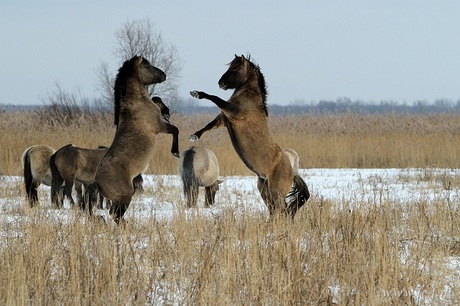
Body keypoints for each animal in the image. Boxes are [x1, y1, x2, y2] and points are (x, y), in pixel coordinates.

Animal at [88, 55, 180, 224]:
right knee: (116, 215)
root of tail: (97, 182)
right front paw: (175, 152)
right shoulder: (159, 127)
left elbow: (156, 98)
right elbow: (175, 130)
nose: (164, 75)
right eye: (147, 66)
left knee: (114, 214)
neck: (137, 103)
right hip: (125, 196)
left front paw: (166, 111)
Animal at [189, 54, 310, 218]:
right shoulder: (224, 119)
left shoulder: (232, 112)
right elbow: (208, 125)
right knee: (275, 210)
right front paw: (194, 136)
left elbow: (215, 98)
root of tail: (292, 171)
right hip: (264, 189)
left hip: (276, 192)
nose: (220, 83)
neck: (250, 98)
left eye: (235, 68)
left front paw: (196, 93)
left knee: (283, 210)